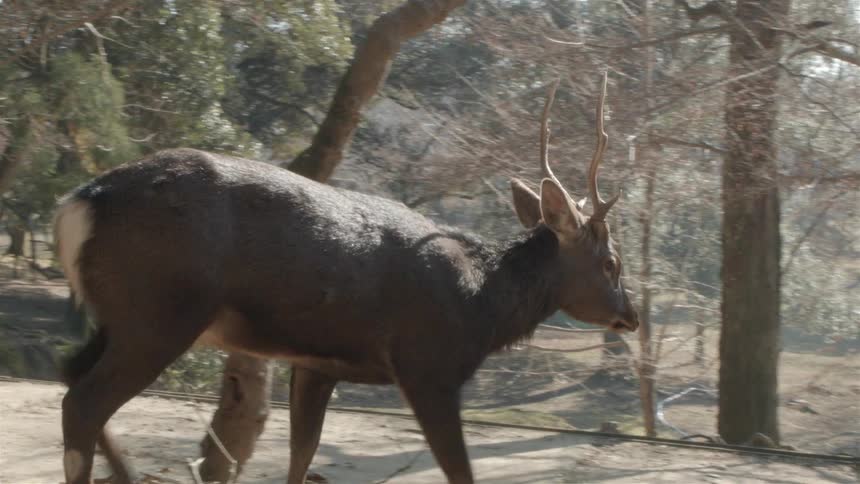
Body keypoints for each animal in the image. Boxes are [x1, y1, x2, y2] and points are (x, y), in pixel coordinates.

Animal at [53, 72, 638, 484]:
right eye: (612, 262)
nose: (630, 315)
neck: (481, 303)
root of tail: (77, 206)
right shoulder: (428, 364)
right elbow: (459, 470)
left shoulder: (317, 363)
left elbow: (302, 455)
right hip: (161, 311)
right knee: (83, 402)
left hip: (118, 317)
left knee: (68, 374)